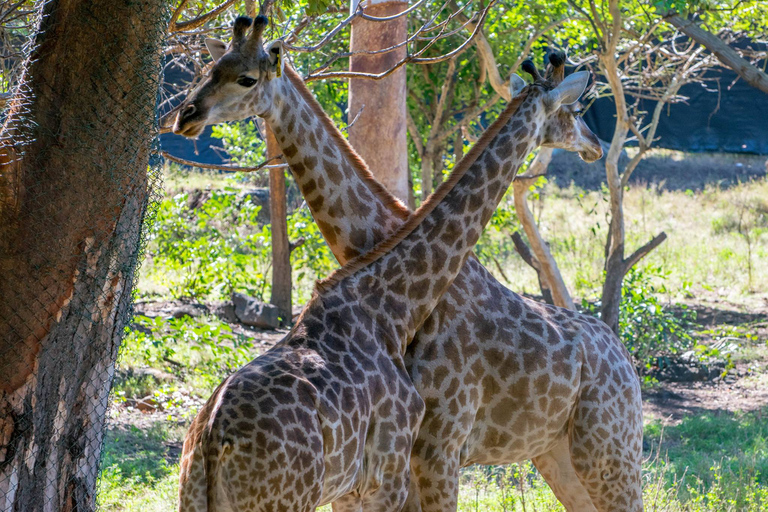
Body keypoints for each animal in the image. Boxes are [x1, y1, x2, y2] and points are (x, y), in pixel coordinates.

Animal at [172, 17, 640, 512]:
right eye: (211, 69)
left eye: (245, 78)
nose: (187, 115)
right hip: (563, 455)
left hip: (603, 452)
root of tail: (626, 359)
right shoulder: (419, 456)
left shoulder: (434, 449)